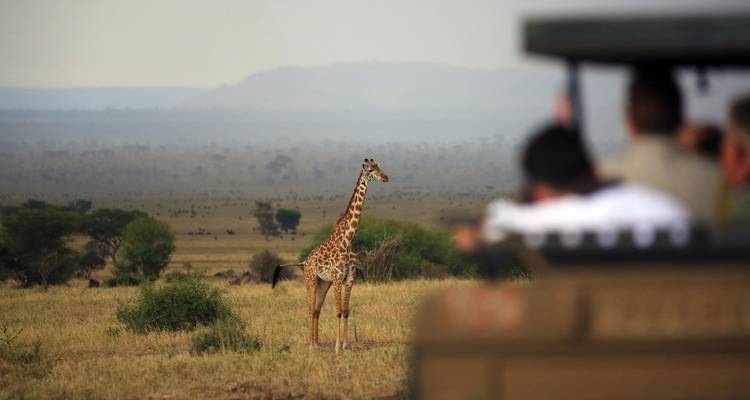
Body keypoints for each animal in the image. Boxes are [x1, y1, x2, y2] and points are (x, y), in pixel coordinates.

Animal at [272, 158, 389, 353]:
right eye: (371, 170)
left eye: (379, 166)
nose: (386, 177)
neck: (347, 240)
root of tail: (304, 261)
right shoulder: (337, 278)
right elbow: (338, 311)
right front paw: (337, 347)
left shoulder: (349, 279)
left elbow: (346, 311)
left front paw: (346, 345)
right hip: (311, 280)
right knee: (310, 308)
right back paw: (311, 345)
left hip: (323, 283)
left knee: (317, 310)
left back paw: (317, 343)